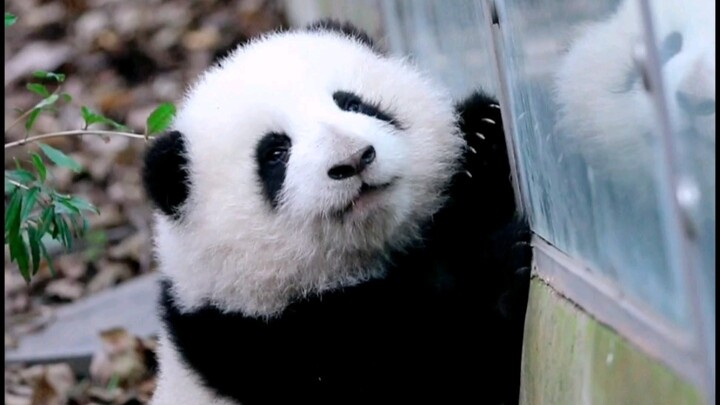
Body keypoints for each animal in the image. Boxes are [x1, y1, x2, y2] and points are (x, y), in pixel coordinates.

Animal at [142, 20, 531, 405]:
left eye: (353, 103)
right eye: (275, 153)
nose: (354, 159)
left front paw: (482, 138)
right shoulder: (270, 350)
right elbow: (438, 363)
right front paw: (504, 264)